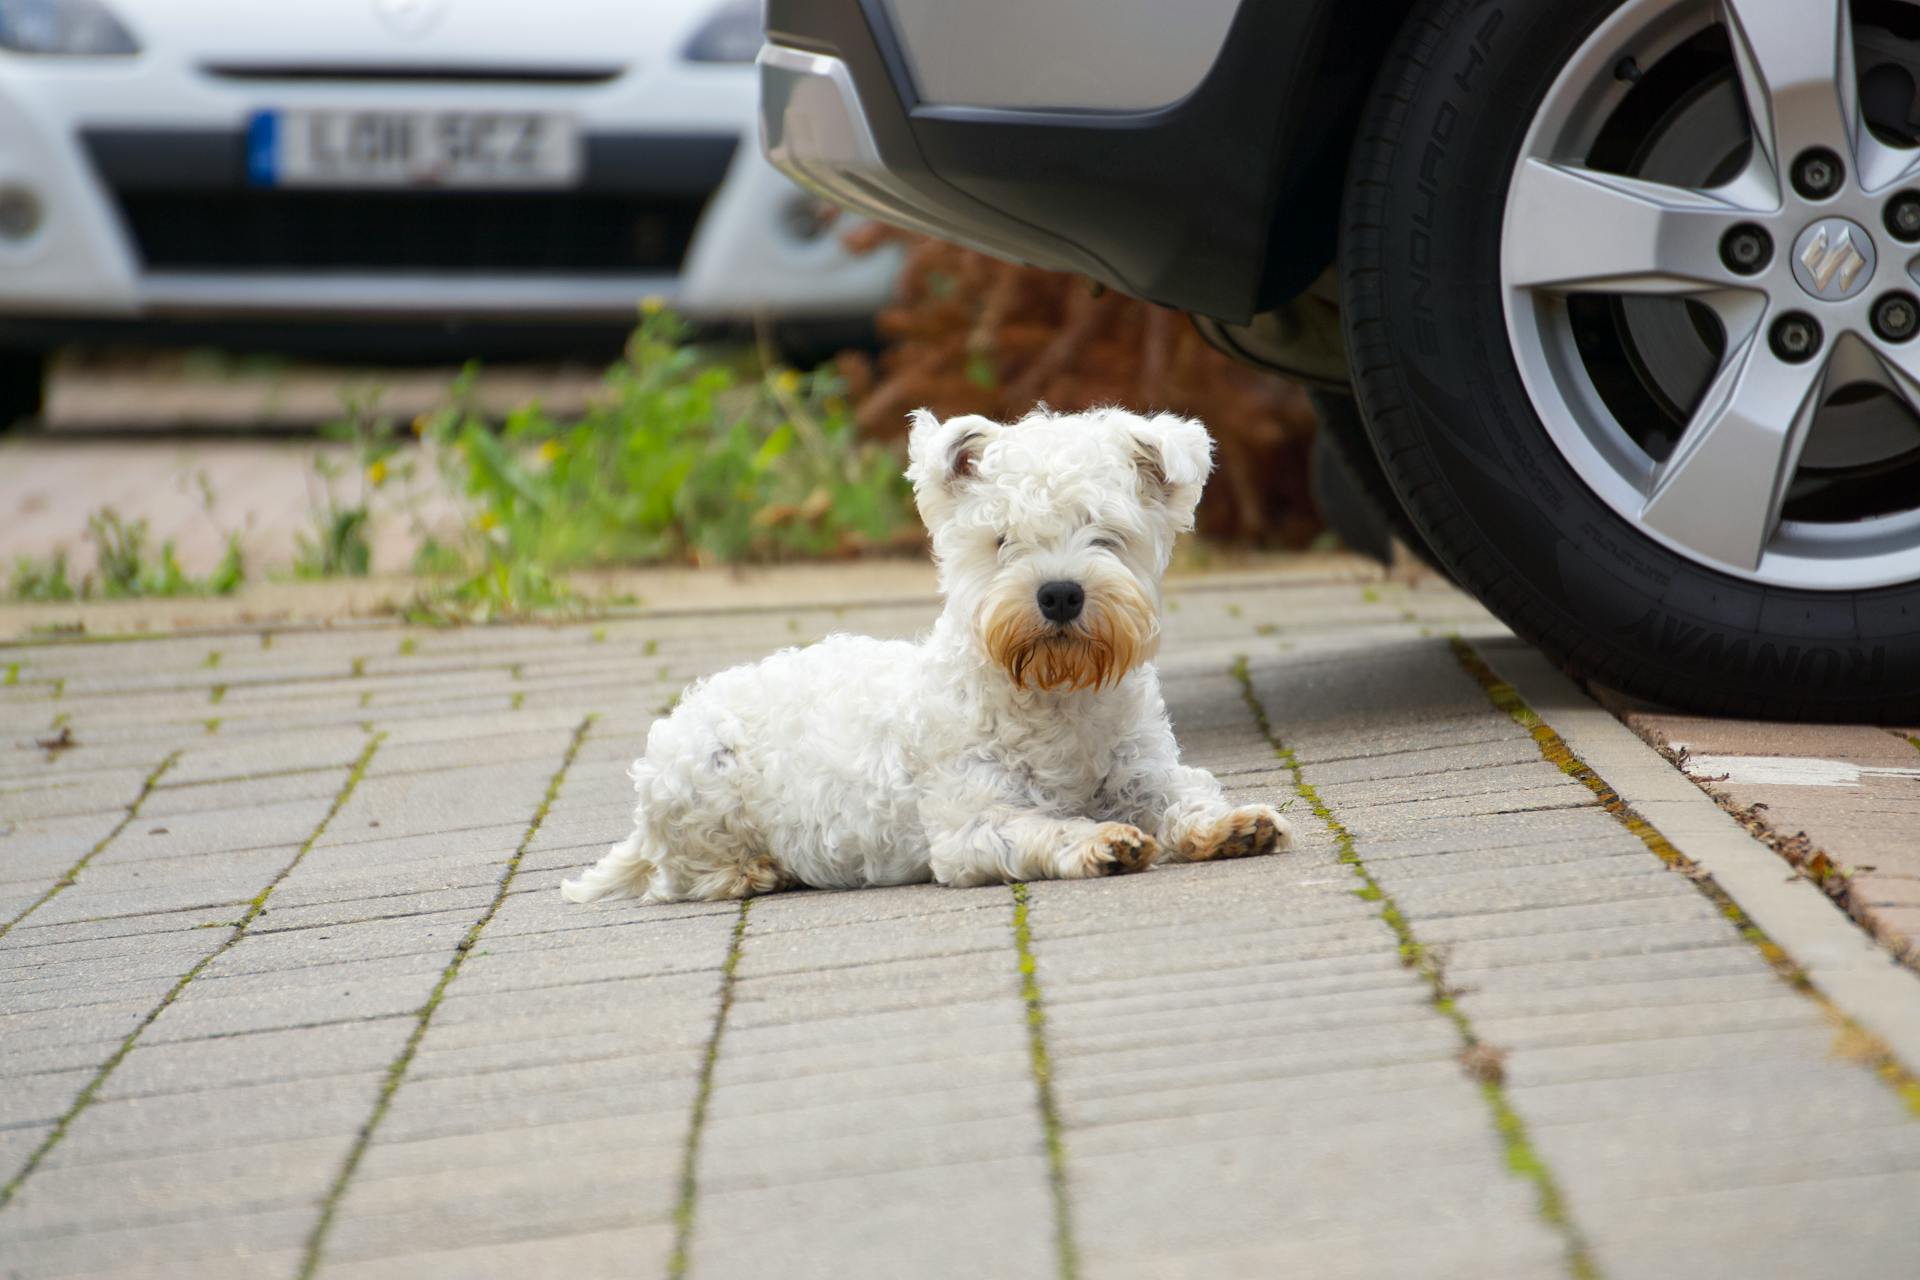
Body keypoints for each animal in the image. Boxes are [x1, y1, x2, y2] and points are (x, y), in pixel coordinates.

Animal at [560, 404, 1297, 905]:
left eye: (1107, 534)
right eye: (1001, 540)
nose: (1060, 594)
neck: (1055, 697)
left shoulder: (1146, 774)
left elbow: (1186, 799)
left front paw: (1234, 826)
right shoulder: (971, 824)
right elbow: (1042, 829)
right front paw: (1099, 840)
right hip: (700, 782)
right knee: (680, 875)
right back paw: (754, 870)